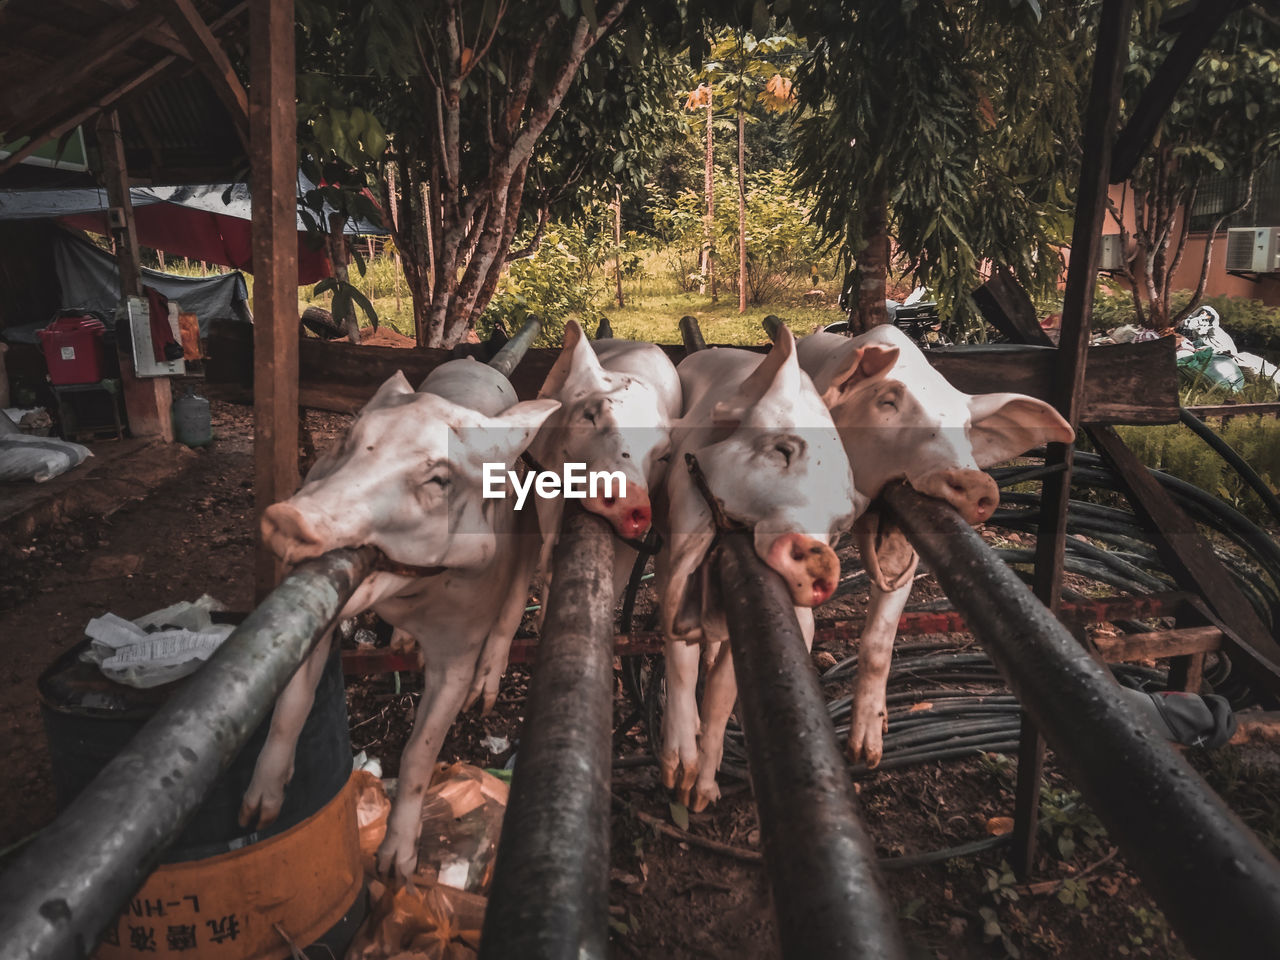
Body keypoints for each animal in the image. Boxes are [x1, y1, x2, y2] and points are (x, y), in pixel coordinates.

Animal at [241, 363, 558, 885]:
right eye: (348, 439)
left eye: (439, 479)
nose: (287, 518)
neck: (409, 597)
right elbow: (293, 703)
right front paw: (258, 814)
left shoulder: (460, 647)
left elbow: (419, 753)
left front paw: (395, 869)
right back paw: (405, 647)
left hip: (530, 529)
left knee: (514, 604)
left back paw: (483, 696)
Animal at [655, 330, 865, 814]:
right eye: (783, 450)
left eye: (839, 527)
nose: (823, 560)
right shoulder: (679, 548)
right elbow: (678, 653)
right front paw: (677, 777)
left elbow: (723, 691)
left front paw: (701, 798)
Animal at [793, 327, 1075, 773]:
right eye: (887, 402)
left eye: (966, 427)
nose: (978, 484)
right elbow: (802, 622)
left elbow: (879, 642)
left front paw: (867, 755)